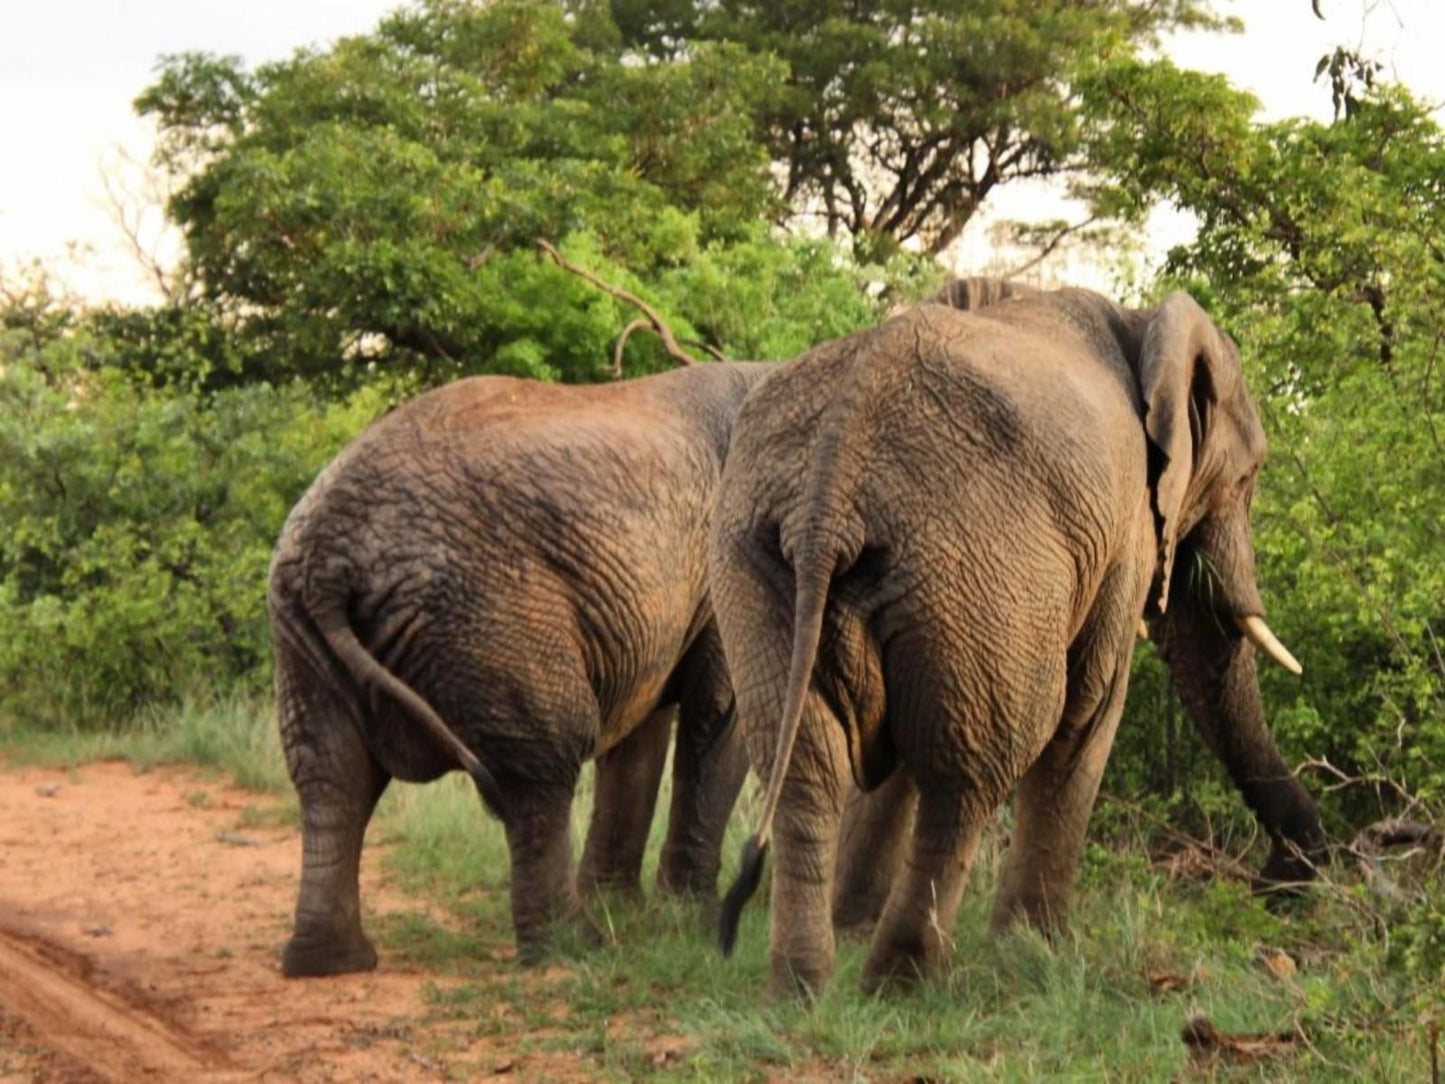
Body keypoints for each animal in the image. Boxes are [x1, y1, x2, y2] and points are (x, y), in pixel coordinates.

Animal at [270, 361, 768, 982]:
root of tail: (328, 564)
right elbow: (720, 718)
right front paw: (690, 929)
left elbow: (642, 729)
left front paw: (632, 912)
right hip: (489, 613)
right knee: (545, 759)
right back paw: (575, 947)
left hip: (304, 635)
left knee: (330, 776)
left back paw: (329, 963)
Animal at [710, 284, 1323, 1000]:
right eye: (1250, 478)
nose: (1274, 885)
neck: (1139, 321)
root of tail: (833, 479)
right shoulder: (1126, 528)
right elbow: (1089, 710)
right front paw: (1038, 951)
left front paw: (855, 924)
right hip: (977, 562)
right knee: (974, 770)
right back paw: (904, 984)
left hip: (767, 558)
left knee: (811, 763)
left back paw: (805, 990)